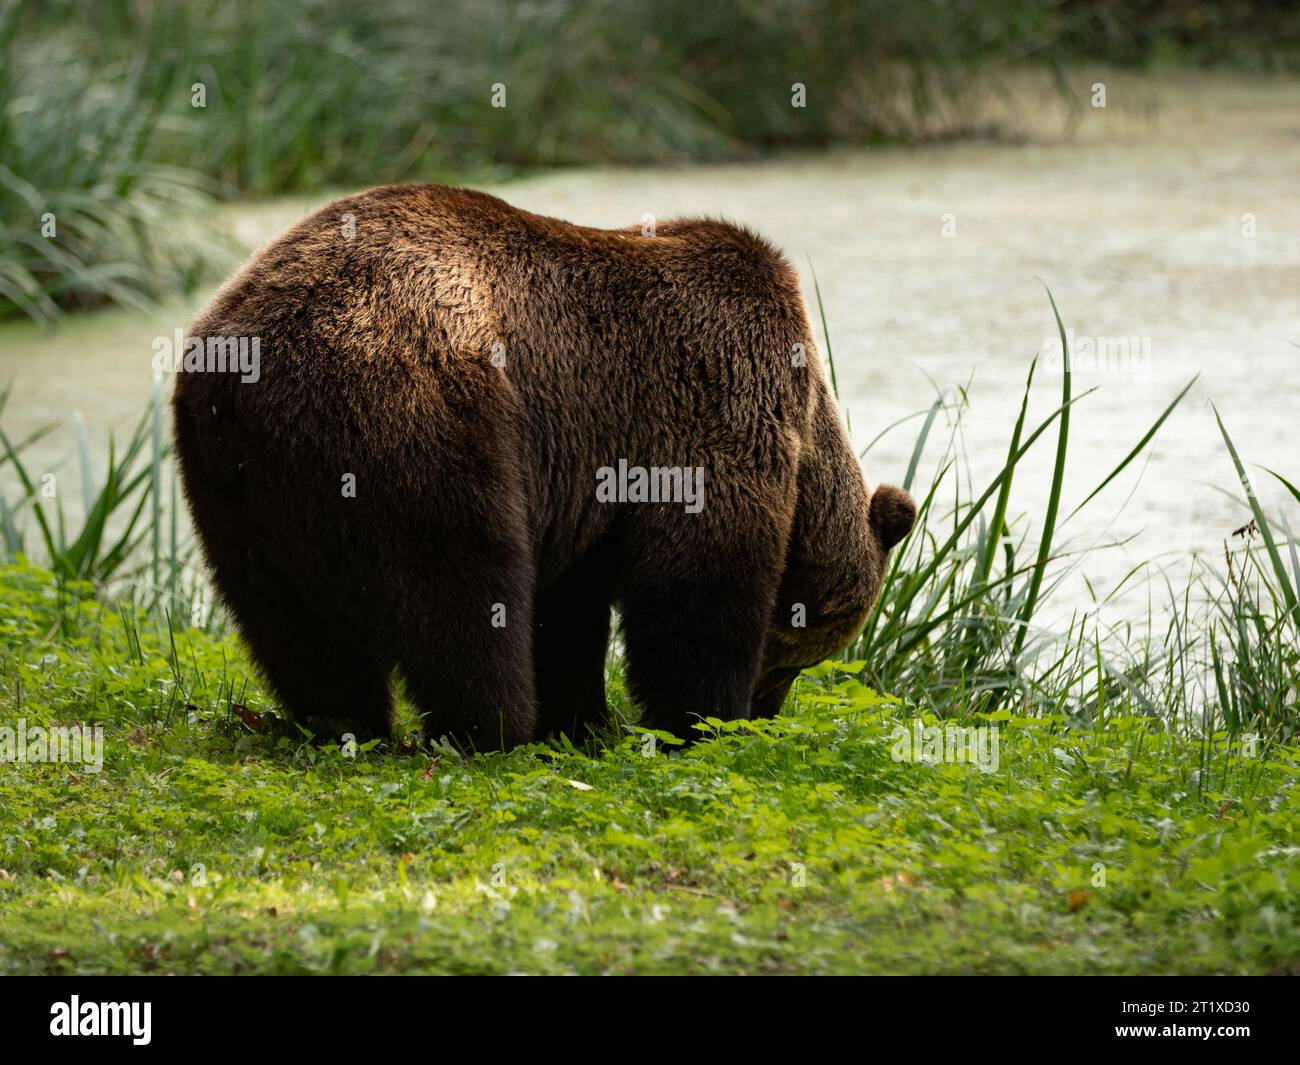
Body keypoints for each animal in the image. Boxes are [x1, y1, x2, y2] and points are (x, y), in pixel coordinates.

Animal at [172, 183, 915, 749]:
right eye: (801, 653)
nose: (769, 706)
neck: (809, 421)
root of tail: (247, 354)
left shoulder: (589, 477)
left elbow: (570, 608)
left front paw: (586, 721)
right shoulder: (709, 396)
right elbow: (698, 578)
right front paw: (701, 720)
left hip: (234, 484)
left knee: (288, 620)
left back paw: (344, 723)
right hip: (423, 408)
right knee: (459, 583)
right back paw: (493, 727)